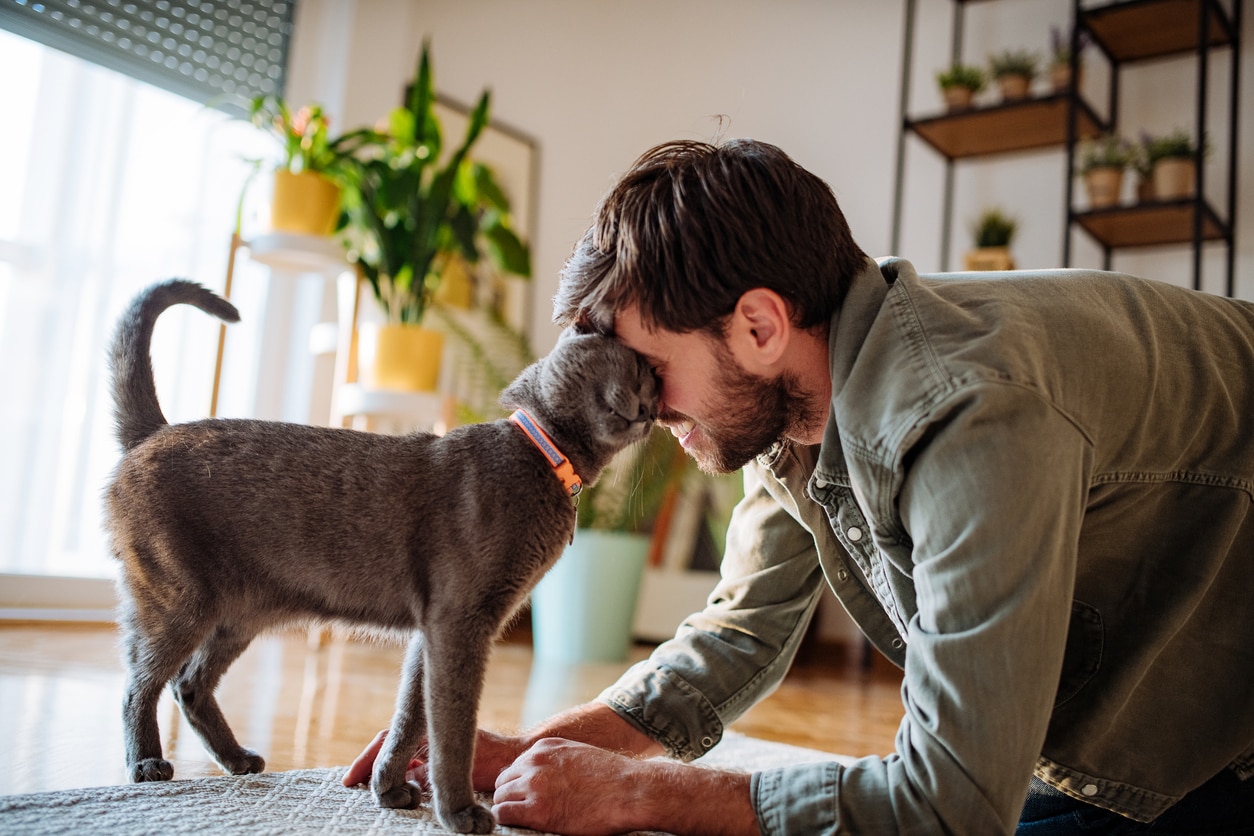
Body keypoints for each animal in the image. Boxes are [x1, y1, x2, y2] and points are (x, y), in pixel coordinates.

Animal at [106, 279, 657, 832]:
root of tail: (154, 432)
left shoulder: (433, 630)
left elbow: (412, 716)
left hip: (241, 614)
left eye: (655, 388)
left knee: (188, 684)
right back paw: (147, 763)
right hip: (179, 599)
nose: (651, 410)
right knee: (140, 683)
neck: (545, 458)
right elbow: (452, 727)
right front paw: (459, 810)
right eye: (639, 371)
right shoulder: (459, 623)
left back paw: (237, 758)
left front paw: (388, 787)